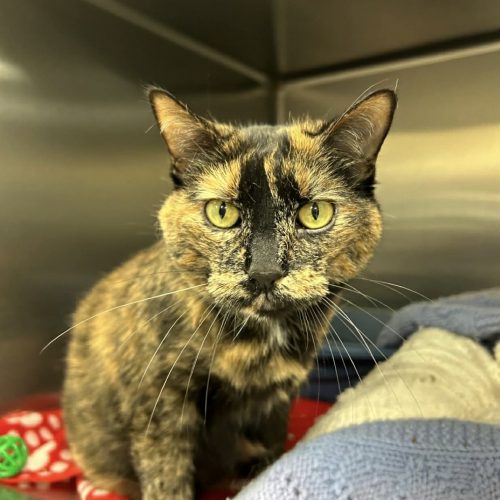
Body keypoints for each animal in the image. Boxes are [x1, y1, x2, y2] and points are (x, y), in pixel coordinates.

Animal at [62, 87, 396, 499]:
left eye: (315, 213)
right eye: (222, 212)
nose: (264, 273)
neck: (259, 345)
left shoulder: (277, 401)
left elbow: (273, 451)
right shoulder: (160, 403)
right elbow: (167, 477)